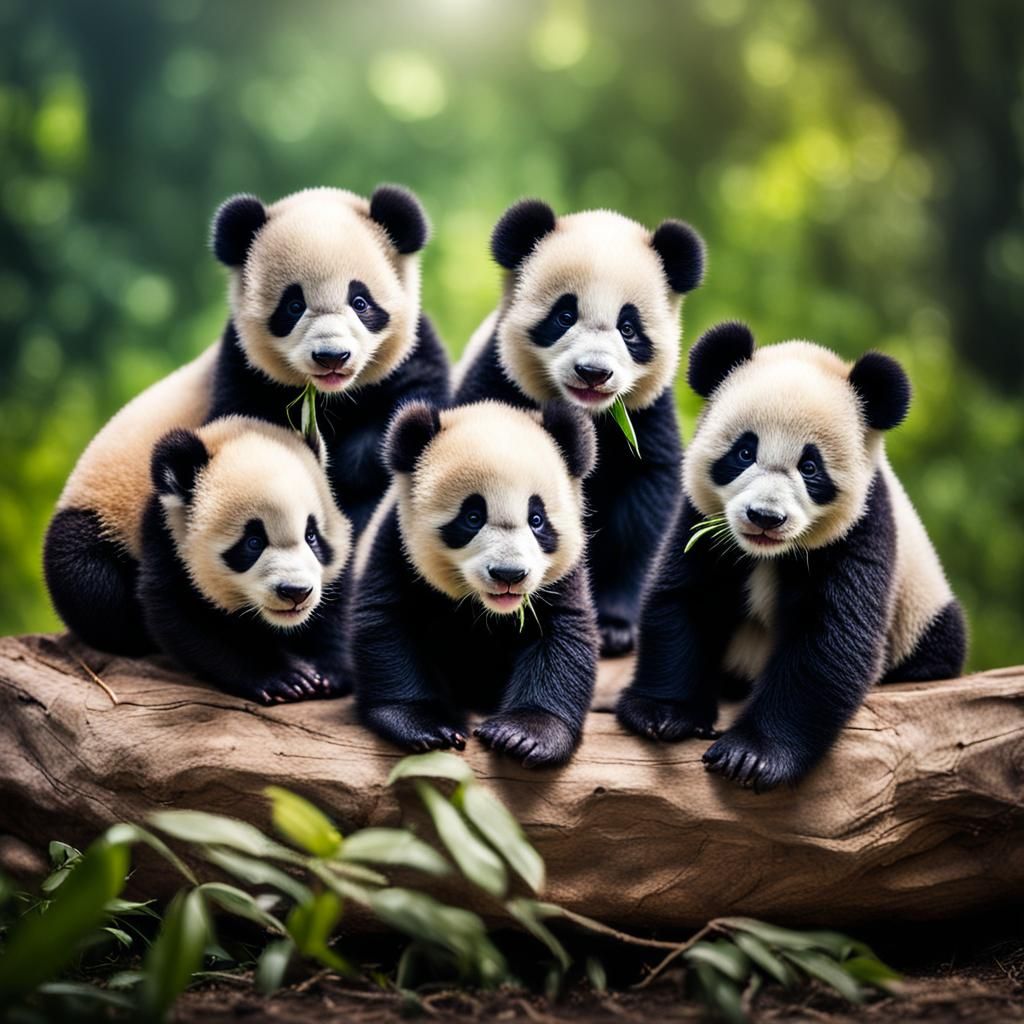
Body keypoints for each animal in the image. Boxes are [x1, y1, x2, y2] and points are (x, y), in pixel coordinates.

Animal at [44, 184, 449, 655]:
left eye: (360, 301)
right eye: (293, 305)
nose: (331, 356)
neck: (331, 398)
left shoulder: (409, 363)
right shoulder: (242, 371)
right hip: (100, 509)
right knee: (86, 575)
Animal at [139, 416, 353, 704]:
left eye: (311, 536)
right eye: (253, 542)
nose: (296, 592)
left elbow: (335, 610)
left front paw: (329, 672)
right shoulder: (168, 549)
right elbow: (192, 621)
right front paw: (286, 678)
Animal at [351, 400, 599, 767]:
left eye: (536, 519)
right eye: (472, 517)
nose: (509, 575)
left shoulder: (563, 575)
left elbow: (562, 635)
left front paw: (524, 736)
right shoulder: (396, 548)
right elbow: (387, 622)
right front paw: (424, 725)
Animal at [454, 199, 705, 659]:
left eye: (628, 328)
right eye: (564, 315)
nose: (593, 372)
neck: (588, 415)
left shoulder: (645, 416)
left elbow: (639, 517)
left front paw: (615, 627)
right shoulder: (498, 381)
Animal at [616, 321, 967, 791]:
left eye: (810, 467)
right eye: (745, 452)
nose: (765, 517)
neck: (769, 554)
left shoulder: (861, 530)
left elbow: (829, 639)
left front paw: (751, 757)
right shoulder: (703, 521)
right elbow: (686, 598)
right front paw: (663, 713)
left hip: (920, 613)